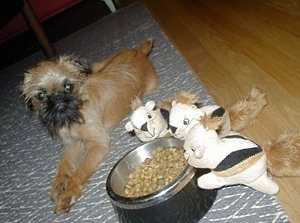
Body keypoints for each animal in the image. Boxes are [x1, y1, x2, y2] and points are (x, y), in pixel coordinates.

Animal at [20, 39, 158, 214]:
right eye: (41, 95)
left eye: (68, 87)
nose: (57, 100)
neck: (71, 117)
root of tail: (140, 52)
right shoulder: (72, 145)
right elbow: (63, 166)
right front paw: (59, 184)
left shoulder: (97, 144)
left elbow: (80, 171)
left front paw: (67, 195)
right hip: (95, 67)